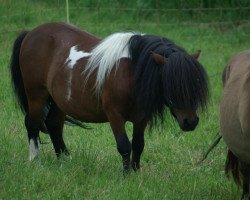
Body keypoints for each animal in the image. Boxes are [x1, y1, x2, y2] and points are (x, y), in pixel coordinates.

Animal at [9, 21, 209, 172]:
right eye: (171, 85)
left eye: (195, 85)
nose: (190, 122)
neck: (130, 72)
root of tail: (30, 33)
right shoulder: (115, 115)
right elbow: (124, 145)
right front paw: (126, 175)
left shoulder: (141, 118)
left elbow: (138, 145)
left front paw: (136, 172)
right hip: (36, 96)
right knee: (32, 123)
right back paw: (35, 160)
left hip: (59, 101)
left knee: (53, 125)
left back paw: (65, 160)